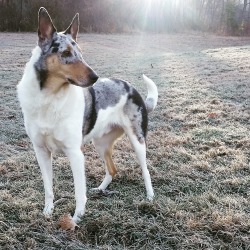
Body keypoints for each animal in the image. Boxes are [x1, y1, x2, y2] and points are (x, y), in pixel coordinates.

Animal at [17, 7, 158, 223]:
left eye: (81, 53)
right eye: (66, 53)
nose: (95, 77)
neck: (50, 97)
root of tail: (131, 87)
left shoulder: (75, 153)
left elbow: (78, 191)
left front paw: (76, 218)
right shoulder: (41, 151)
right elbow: (48, 188)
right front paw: (48, 211)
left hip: (137, 140)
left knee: (145, 170)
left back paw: (149, 196)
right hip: (100, 143)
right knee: (112, 170)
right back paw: (100, 189)